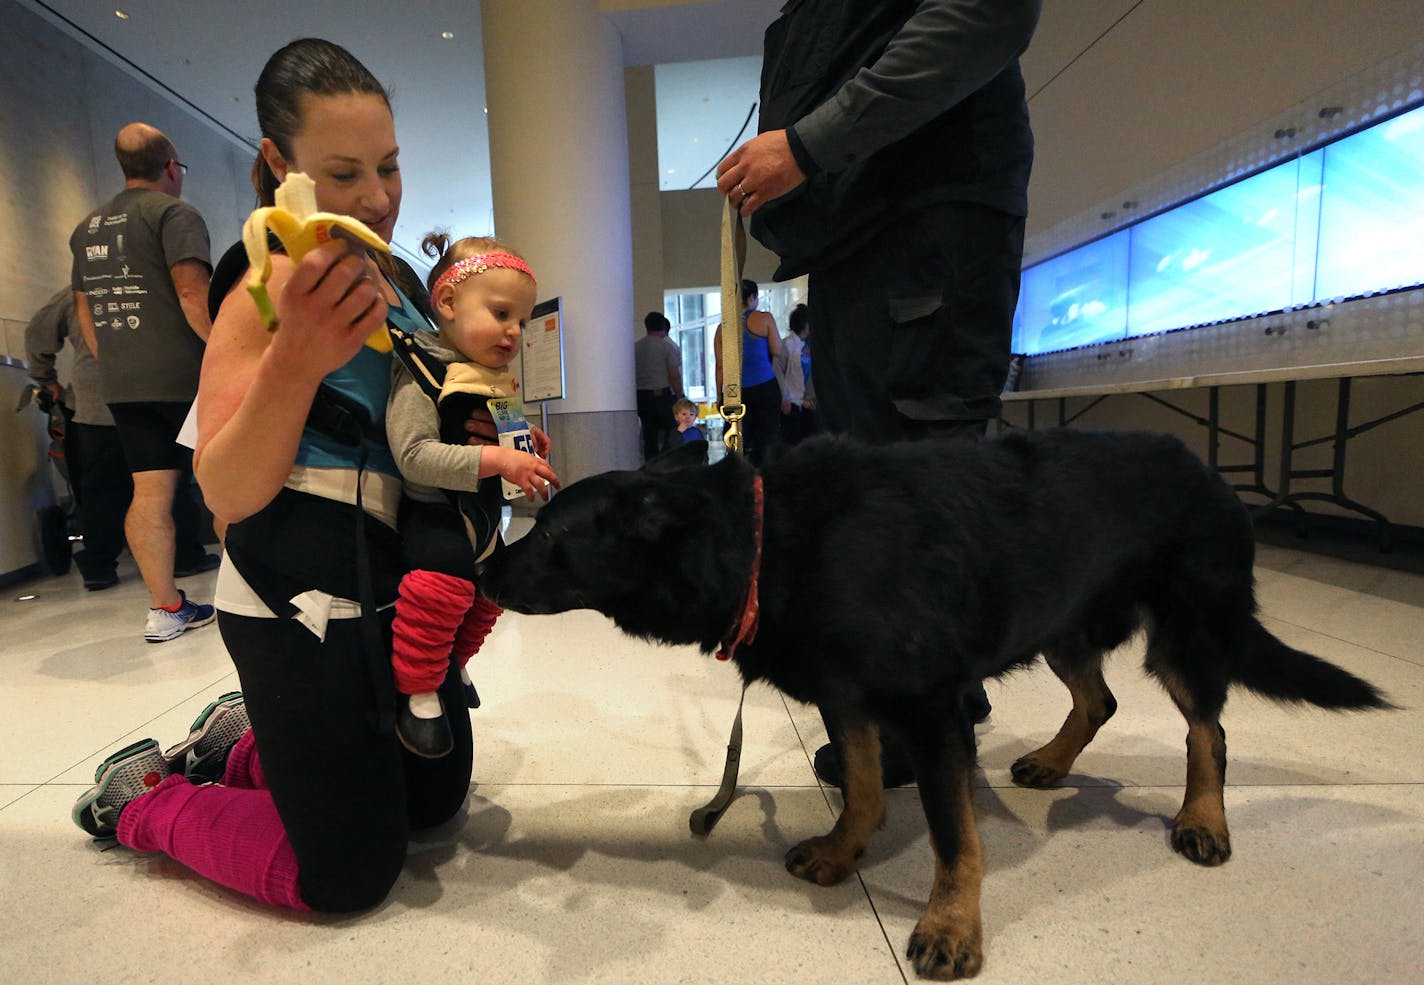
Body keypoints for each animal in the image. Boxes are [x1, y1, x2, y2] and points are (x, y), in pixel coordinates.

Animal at [481, 429, 1389, 979]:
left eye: (552, 536)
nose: (483, 570)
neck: (767, 544)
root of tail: (1208, 468)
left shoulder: (932, 713)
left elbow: (957, 839)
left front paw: (953, 926)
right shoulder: (849, 698)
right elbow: (863, 786)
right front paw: (844, 850)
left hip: (1187, 634)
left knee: (1209, 730)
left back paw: (1204, 816)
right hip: (1061, 619)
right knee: (1098, 699)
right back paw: (1053, 761)